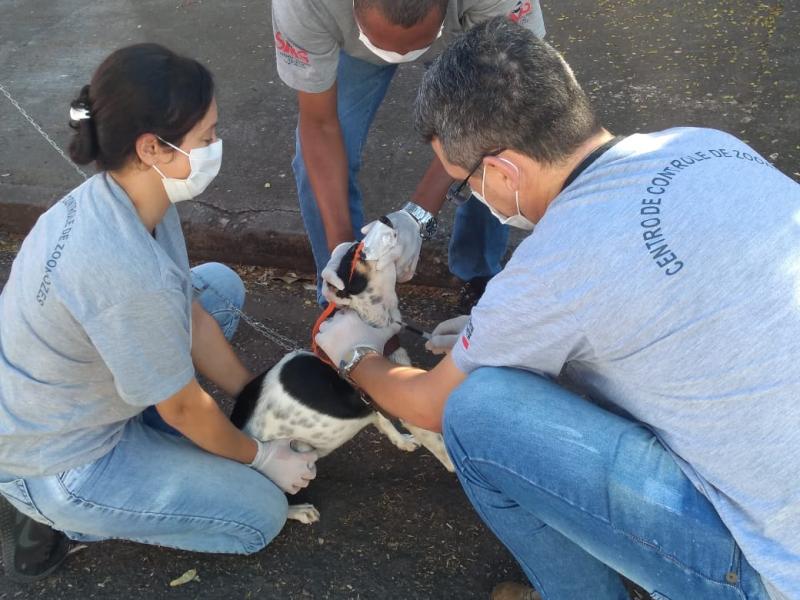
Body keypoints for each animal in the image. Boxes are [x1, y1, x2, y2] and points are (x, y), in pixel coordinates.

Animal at [231, 241, 454, 524]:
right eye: (355, 255)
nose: (358, 241)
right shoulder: (406, 404)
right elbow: (438, 443)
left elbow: (384, 423)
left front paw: (402, 441)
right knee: (278, 498)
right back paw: (298, 510)